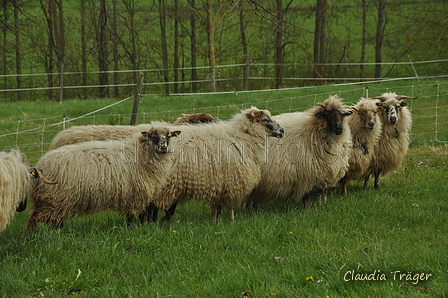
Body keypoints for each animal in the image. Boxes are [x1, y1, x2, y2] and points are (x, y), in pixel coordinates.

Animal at [25, 125, 180, 230]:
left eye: (168, 136)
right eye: (153, 136)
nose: (163, 147)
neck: (141, 154)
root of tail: (41, 165)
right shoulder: (135, 192)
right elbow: (132, 215)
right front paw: (132, 228)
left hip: (53, 199)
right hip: (54, 198)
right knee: (39, 217)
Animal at [150, 106, 284, 222]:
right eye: (265, 120)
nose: (282, 131)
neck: (242, 138)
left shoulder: (219, 181)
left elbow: (217, 205)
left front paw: (215, 221)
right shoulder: (233, 179)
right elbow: (230, 206)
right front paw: (231, 221)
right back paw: (153, 222)